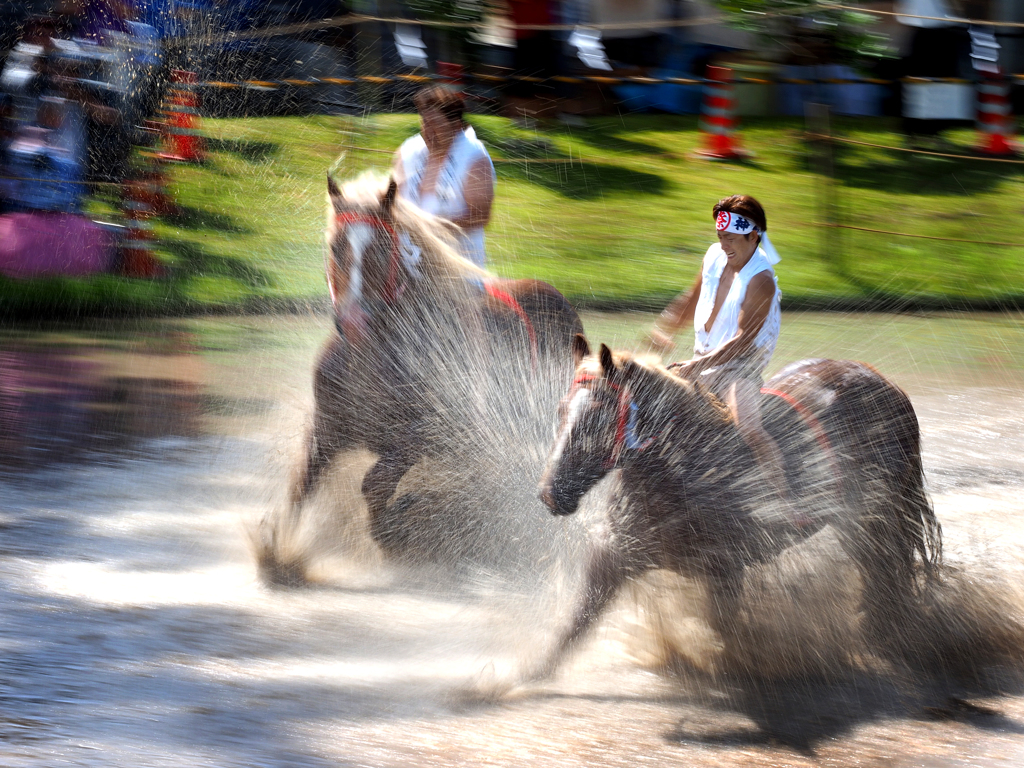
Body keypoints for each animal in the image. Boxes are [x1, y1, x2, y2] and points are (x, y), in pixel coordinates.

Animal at [256, 174, 585, 581]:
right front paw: (278, 550)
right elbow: (301, 482)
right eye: (335, 246)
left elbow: (375, 484)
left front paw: (393, 530)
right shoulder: (326, 429)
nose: (354, 322)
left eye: (384, 248)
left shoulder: (425, 438)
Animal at [536, 335, 942, 679]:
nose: (550, 493)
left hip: (876, 516)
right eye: (560, 409)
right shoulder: (613, 557)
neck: (679, 468)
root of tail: (885, 383)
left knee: (886, 570)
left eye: (597, 417)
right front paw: (526, 676)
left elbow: (726, 630)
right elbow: (574, 624)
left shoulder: (726, 569)